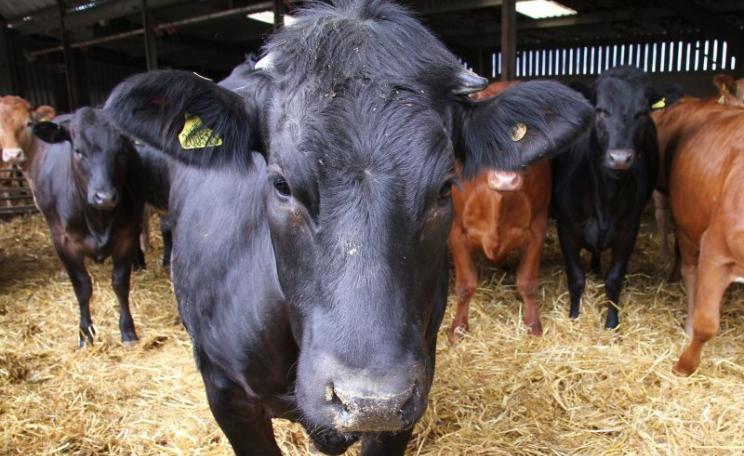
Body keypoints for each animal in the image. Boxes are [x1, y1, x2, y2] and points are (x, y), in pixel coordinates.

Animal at [30, 107, 145, 346]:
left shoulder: (127, 236)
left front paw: (127, 330)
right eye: (78, 151)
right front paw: (85, 334)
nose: (105, 197)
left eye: (121, 151)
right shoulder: (64, 242)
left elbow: (120, 283)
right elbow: (82, 287)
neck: (98, 219)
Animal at [448, 80, 551, 342]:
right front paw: (458, 328)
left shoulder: (538, 227)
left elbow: (527, 282)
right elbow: (465, 285)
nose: (505, 178)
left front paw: (533, 325)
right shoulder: (456, 230)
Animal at [552, 66, 664, 329]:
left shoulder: (629, 229)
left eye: (642, 112)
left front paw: (612, 322)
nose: (620, 158)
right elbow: (576, 277)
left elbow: (614, 279)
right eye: (600, 110)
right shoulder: (566, 226)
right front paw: (574, 315)